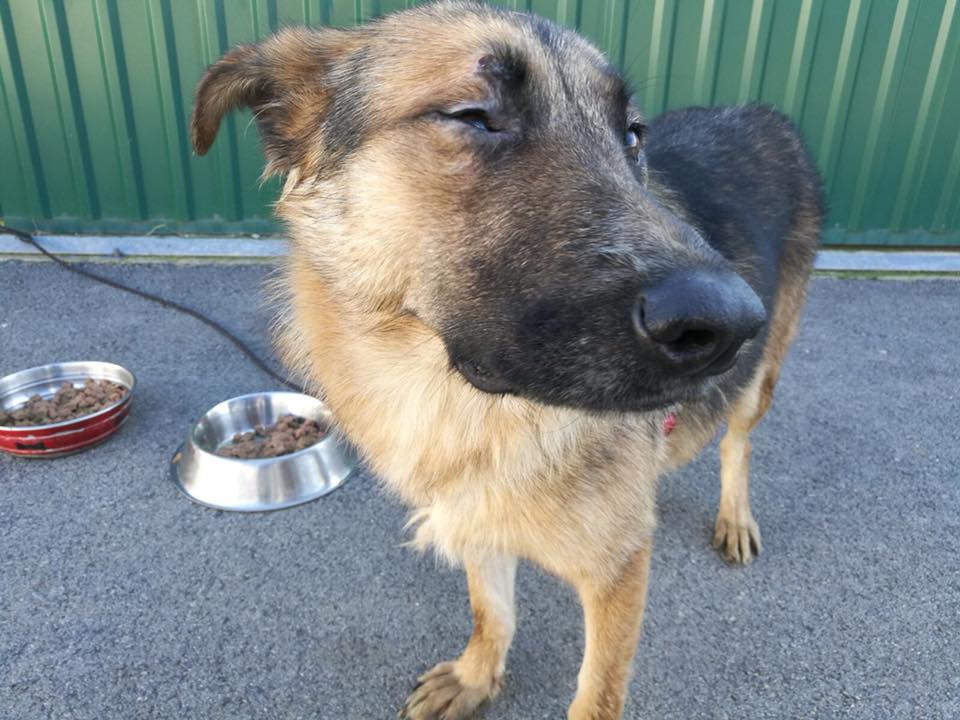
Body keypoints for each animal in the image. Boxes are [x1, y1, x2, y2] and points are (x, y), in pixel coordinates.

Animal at [191, 2, 822, 717]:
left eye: (632, 136)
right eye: (473, 115)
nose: (731, 324)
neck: (460, 403)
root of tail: (761, 112)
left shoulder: (619, 568)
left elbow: (596, 693)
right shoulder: (477, 513)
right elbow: (491, 608)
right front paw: (476, 676)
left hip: (761, 378)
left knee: (738, 440)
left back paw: (734, 514)